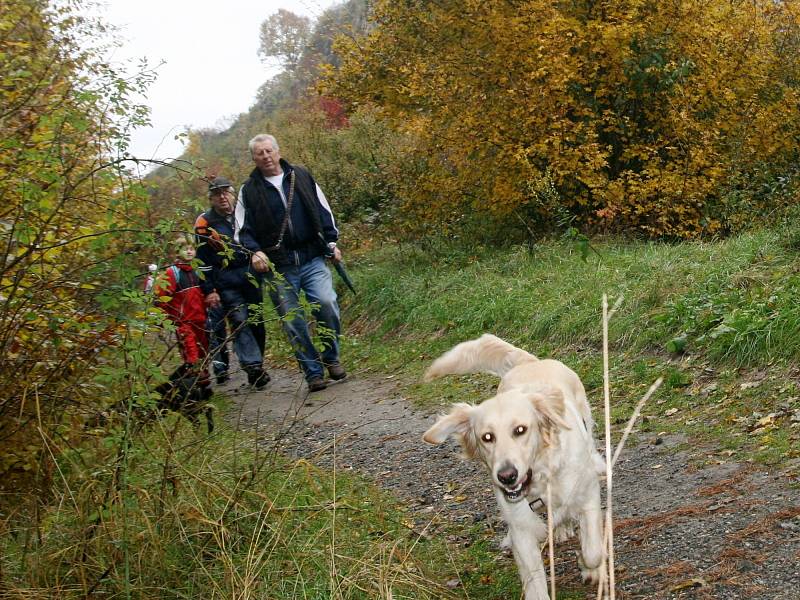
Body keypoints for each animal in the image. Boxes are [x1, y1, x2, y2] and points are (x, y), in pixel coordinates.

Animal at [422, 336, 604, 596]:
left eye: (520, 430)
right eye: (487, 437)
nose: (506, 476)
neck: (542, 478)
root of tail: (530, 362)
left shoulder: (587, 493)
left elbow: (592, 551)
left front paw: (591, 569)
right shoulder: (521, 528)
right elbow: (535, 585)